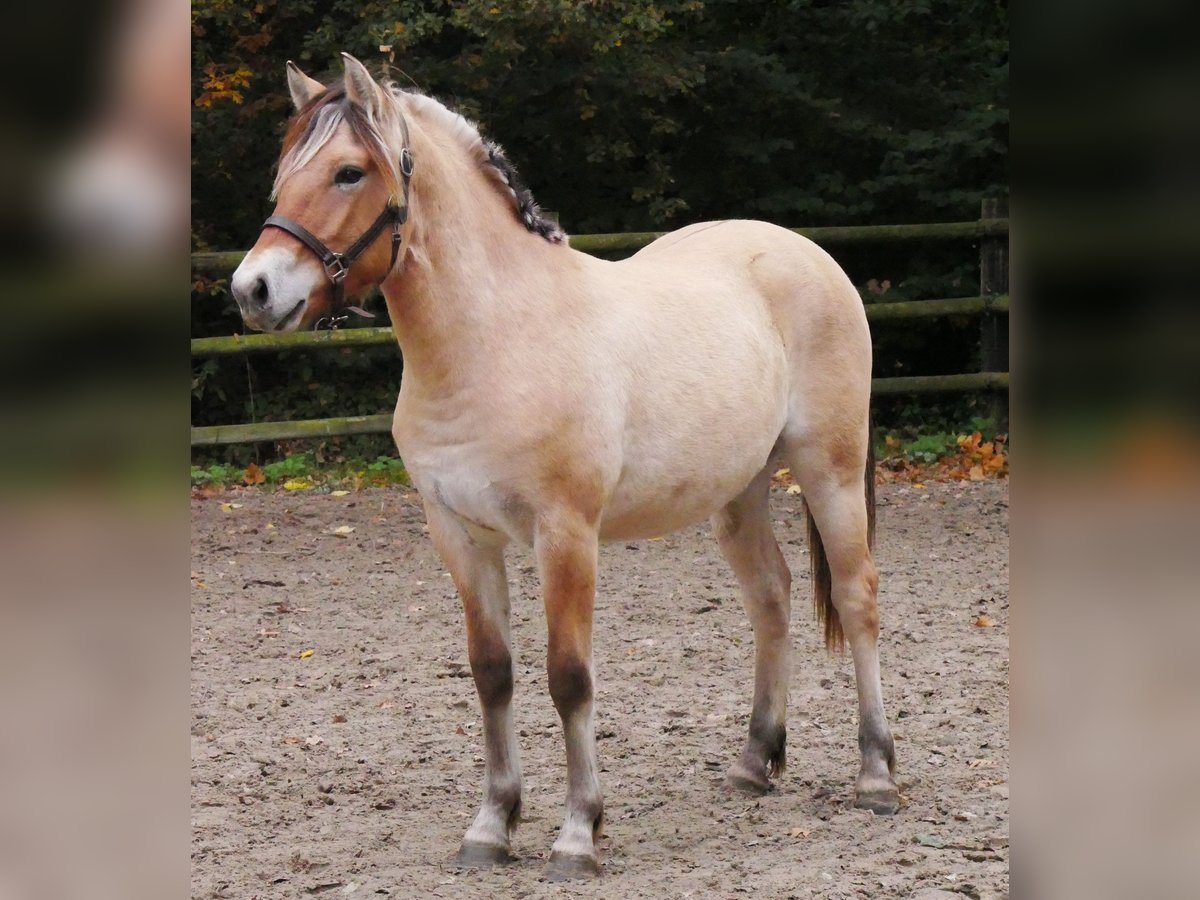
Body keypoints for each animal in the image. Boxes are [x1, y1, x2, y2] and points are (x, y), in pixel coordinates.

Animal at [230, 54, 899, 880]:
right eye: (283, 175)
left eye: (348, 172)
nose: (253, 290)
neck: (496, 339)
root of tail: (810, 255)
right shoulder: (459, 535)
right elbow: (492, 673)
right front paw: (491, 827)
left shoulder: (566, 534)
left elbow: (569, 677)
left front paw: (579, 833)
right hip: (738, 491)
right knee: (770, 599)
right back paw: (753, 762)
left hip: (829, 470)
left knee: (858, 597)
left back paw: (876, 775)